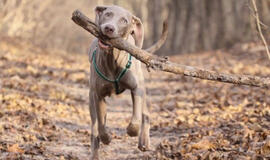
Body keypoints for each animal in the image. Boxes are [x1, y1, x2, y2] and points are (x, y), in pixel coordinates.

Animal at [87, 5, 166, 160]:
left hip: (142, 88)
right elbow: (101, 125)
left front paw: (132, 131)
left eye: (124, 20)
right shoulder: (98, 95)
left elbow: (135, 120)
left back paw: (144, 141)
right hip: (91, 99)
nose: (109, 28)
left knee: (145, 114)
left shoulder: (136, 89)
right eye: (107, 14)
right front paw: (106, 138)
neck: (112, 60)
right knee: (94, 127)